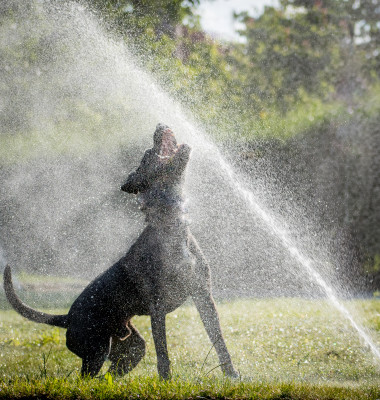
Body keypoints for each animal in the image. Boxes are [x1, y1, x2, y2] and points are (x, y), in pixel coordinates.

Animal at [3, 123, 238, 380]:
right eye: (147, 155)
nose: (159, 125)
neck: (172, 225)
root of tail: (67, 317)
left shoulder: (203, 295)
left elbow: (219, 340)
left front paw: (232, 375)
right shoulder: (157, 305)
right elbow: (163, 351)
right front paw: (166, 381)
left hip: (131, 348)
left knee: (113, 372)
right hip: (95, 348)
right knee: (86, 377)